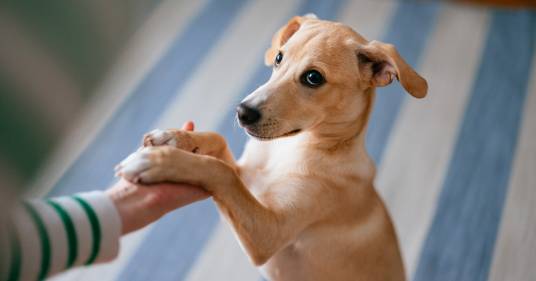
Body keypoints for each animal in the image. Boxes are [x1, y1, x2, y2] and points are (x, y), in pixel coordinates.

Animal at [116, 13, 428, 280]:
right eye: (279, 57)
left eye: (314, 77)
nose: (242, 112)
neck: (289, 148)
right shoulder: (248, 179)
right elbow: (219, 143)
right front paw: (172, 138)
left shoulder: (269, 233)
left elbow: (219, 171)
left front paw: (158, 162)